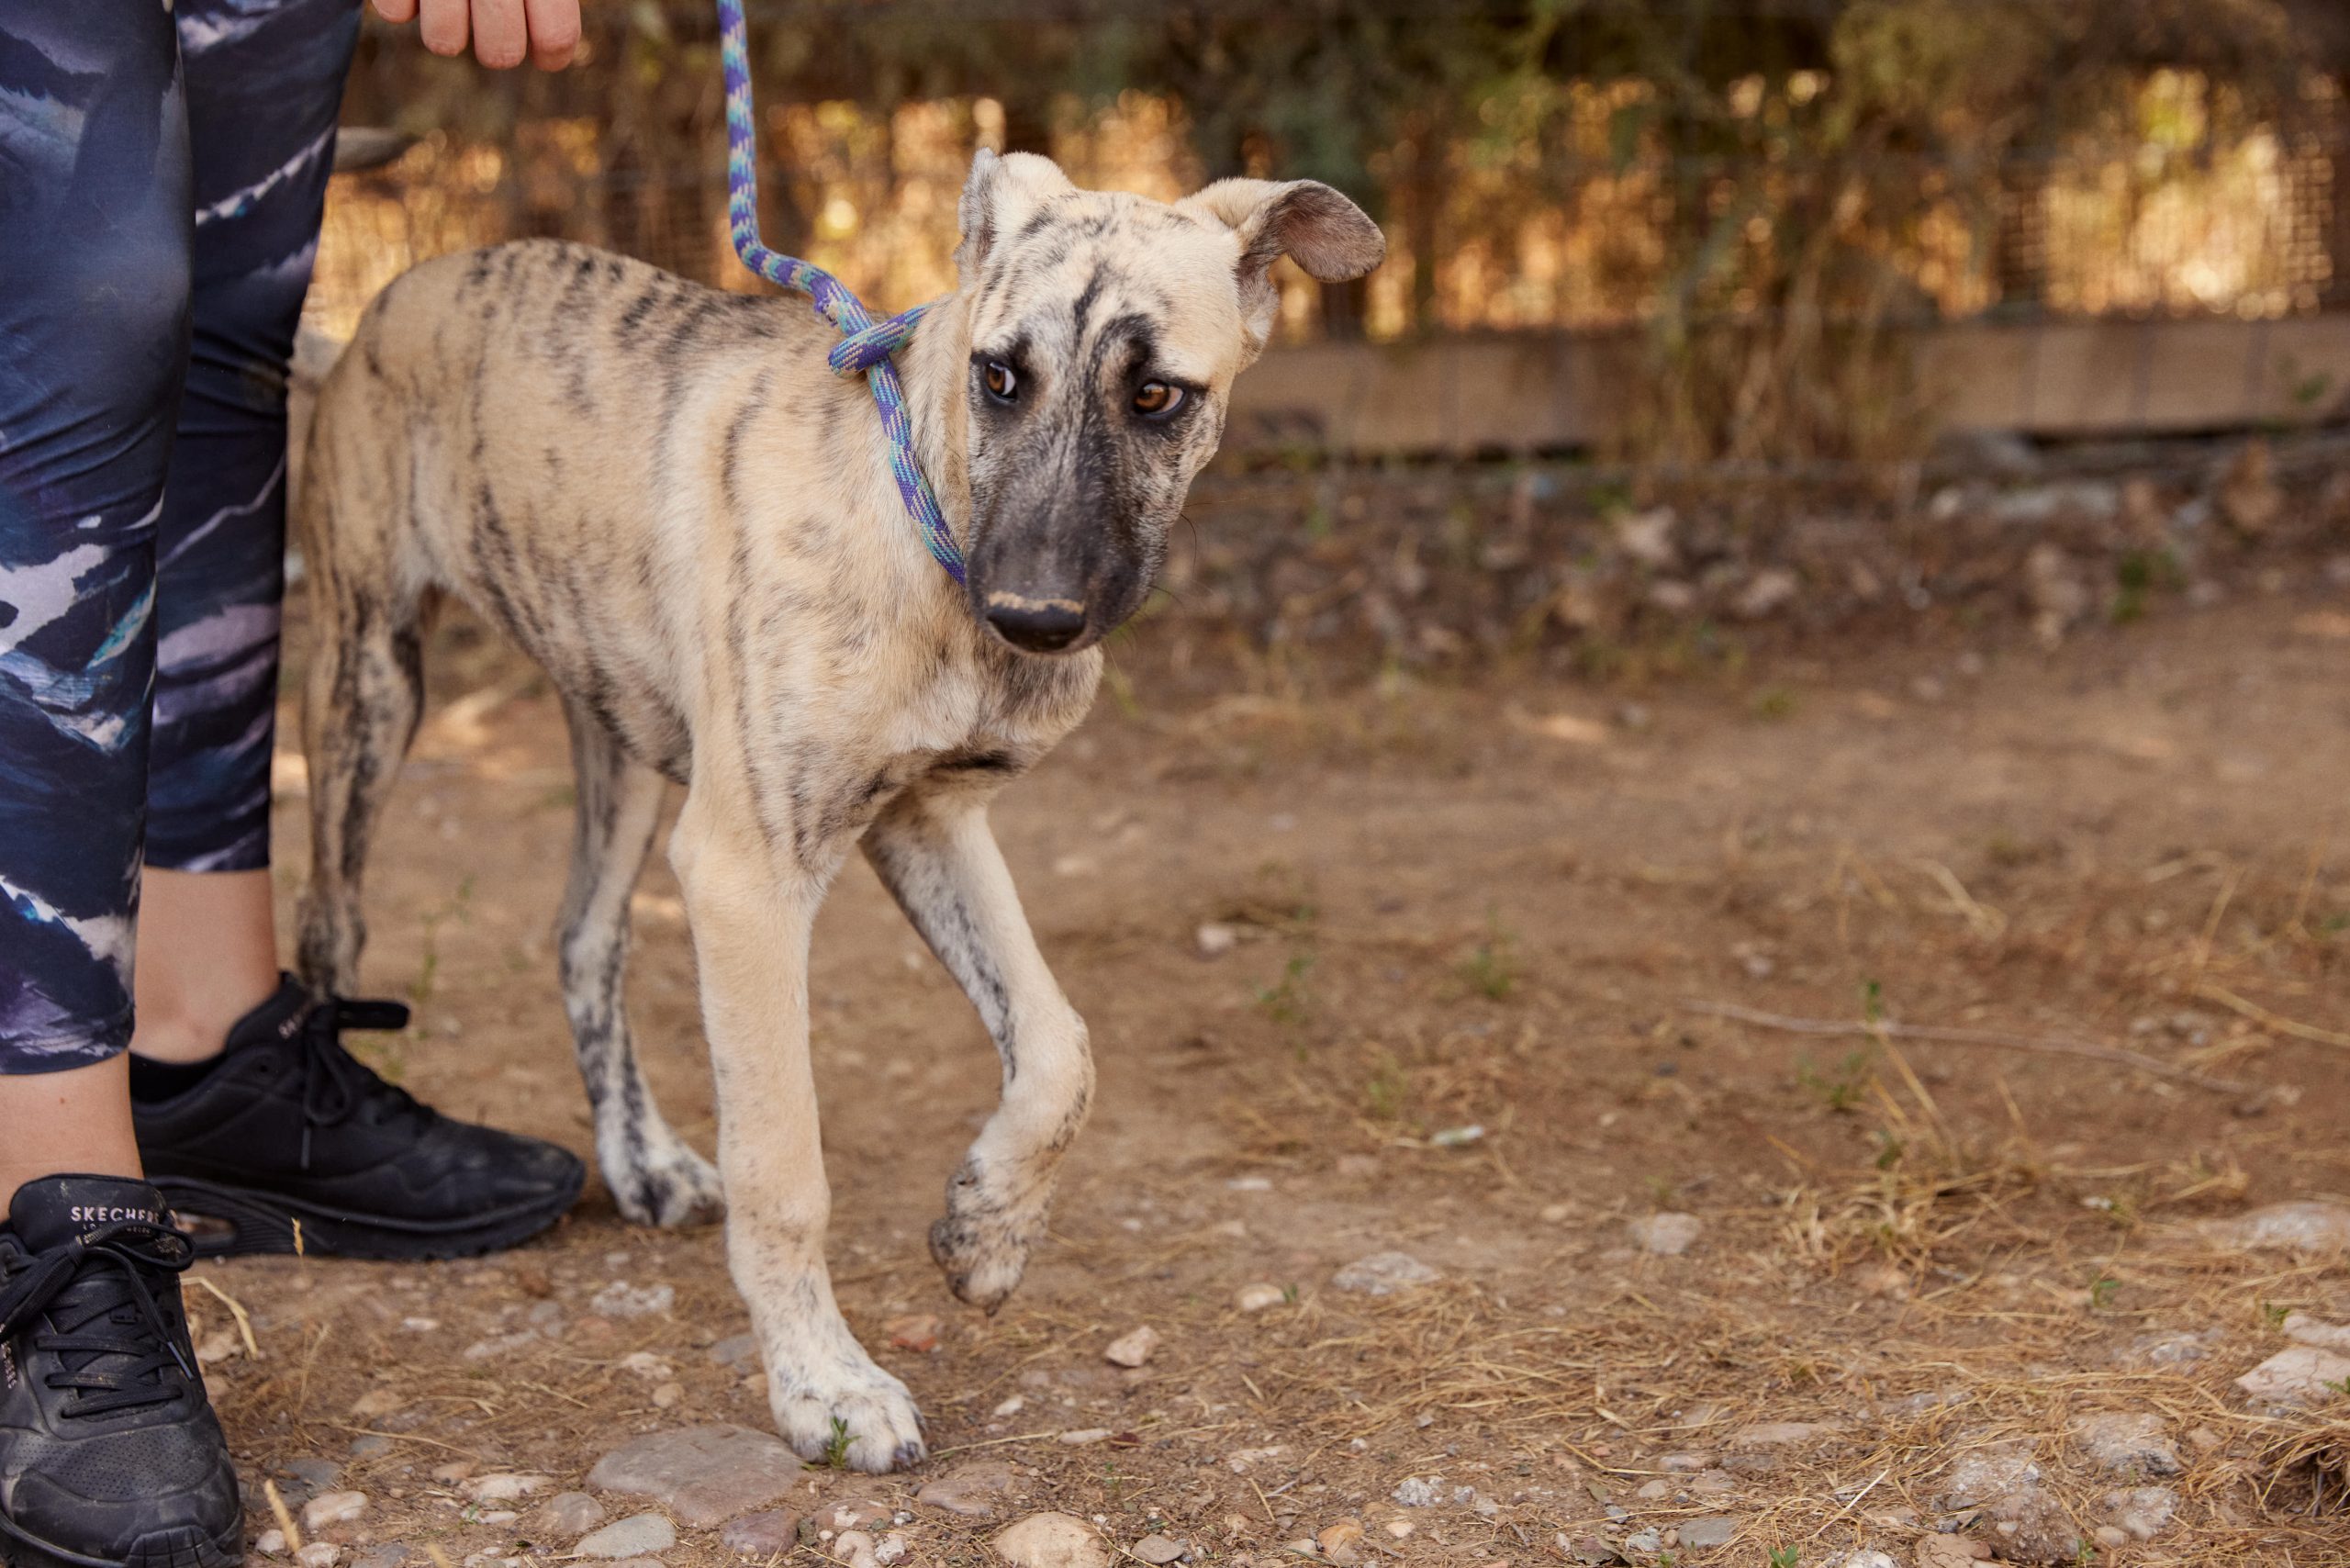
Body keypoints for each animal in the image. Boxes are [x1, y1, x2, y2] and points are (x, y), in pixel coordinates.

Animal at [292, 149, 1383, 1471]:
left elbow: (1060, 1048)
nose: (1033, 618)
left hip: (619, 726)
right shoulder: (747, 873)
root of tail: (393, 299)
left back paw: (642, 1161)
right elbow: (786, 1171)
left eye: (1157, 395)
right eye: (999, 375)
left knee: (584, 937)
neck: (920, 525)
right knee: (330, 924)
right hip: (371, 682)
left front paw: (986, 1232)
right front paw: (824, 1384)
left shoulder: (930, 818)